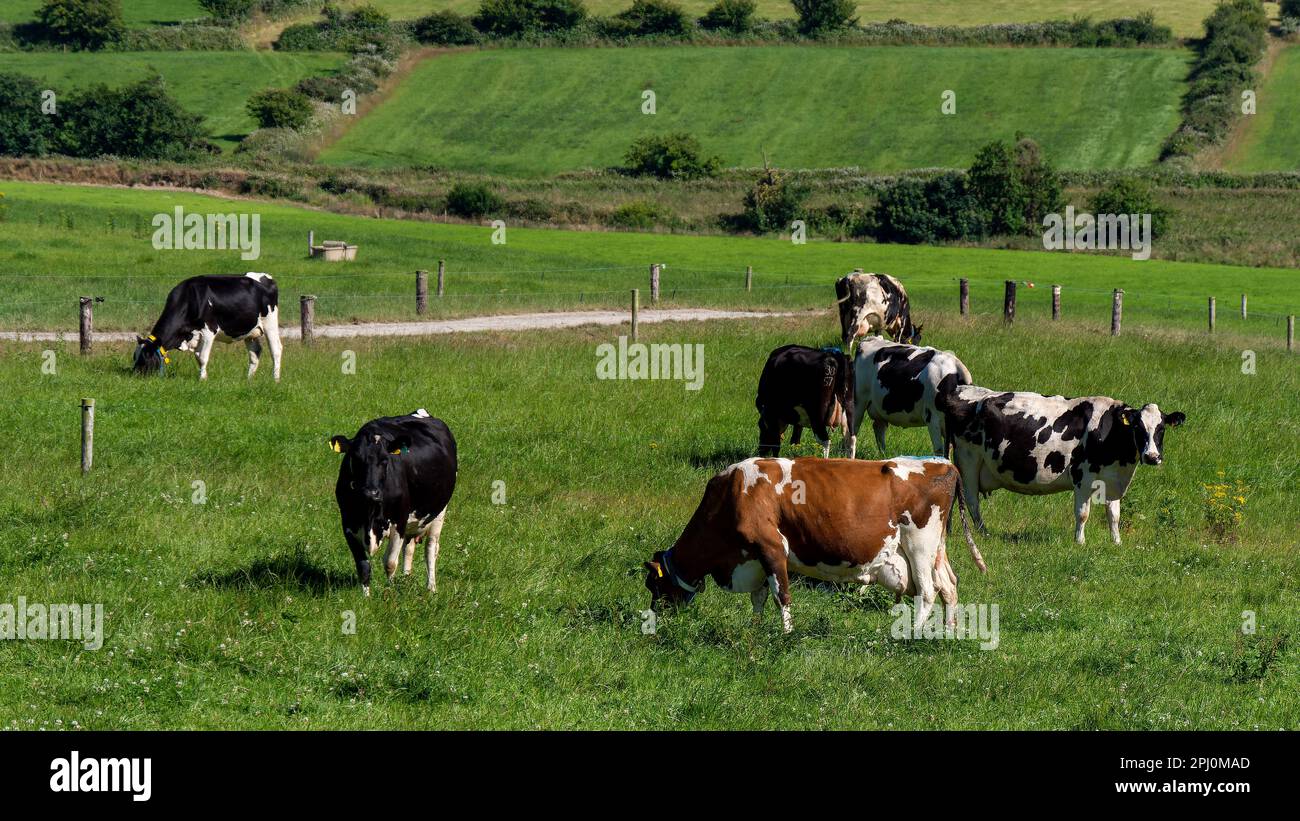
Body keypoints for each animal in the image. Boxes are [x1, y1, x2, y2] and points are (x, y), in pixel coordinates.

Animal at [132, 272, 282, 381]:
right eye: (134, 356)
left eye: (145, 357)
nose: (134, 375)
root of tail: (267, 278)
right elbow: (198, 357)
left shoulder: (209, 331)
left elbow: (202, 357)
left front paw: (202, 379)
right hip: (250, 330)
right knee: (255, 353)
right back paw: (248, 380)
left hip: (270, 323)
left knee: (276, 350)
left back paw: (275, 379)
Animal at [330, 410, 457, 597]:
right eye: (356, 458)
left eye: (384, 460)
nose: (370, 492)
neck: (370, 515)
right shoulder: (348, 523)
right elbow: (363, 566)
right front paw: (366, 597)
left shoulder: (400, 521)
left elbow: (390, 563)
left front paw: (390, 590)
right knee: (409, 548)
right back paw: (406, 578)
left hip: (439, 513)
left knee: (431, 549)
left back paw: (431, 588)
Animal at [639, 459, 982, 631]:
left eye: (653, 586)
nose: (654, 619)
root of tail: (943, 463)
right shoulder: (754, 557)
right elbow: (759, 598)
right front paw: (755, 629)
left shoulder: (771, 547)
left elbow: (782, 596)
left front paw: (787, 636)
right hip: (936, 550)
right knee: (949, 585)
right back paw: (947, 632)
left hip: (919, 545)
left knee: (928, 591)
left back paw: (910, 635)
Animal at [941, 387, 1185, 545]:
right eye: (1138, 427)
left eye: (1161, 428)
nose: (1152, 456)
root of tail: (962, 390)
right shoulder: (1083, 477)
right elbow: (1083, 513)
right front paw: (1080, 542)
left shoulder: (1114, 480)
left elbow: (1114, 514)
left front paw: (1116, 543)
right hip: (969, 460)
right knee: (971, 500)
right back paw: (984, 533)